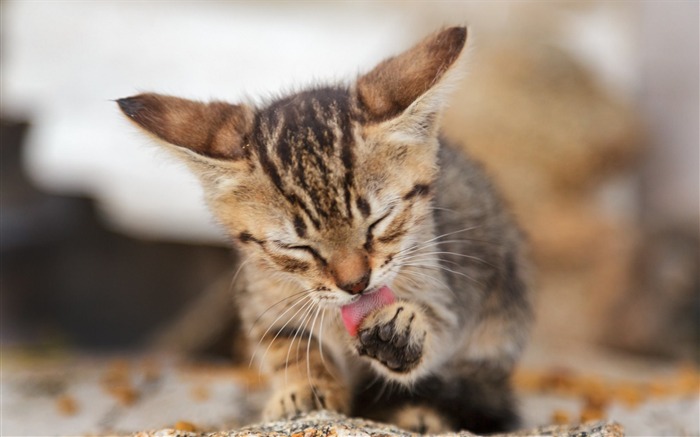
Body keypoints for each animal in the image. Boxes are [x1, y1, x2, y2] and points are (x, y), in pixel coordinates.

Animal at [117, 27, 532, 432]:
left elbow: (439, 329)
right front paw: (304, 388)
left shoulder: (446, 284)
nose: (356, 284)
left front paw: (402, 332)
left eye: (378, 221)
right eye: (296, 247)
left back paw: (423, 413)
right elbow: (286, 343)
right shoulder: (261, 296)